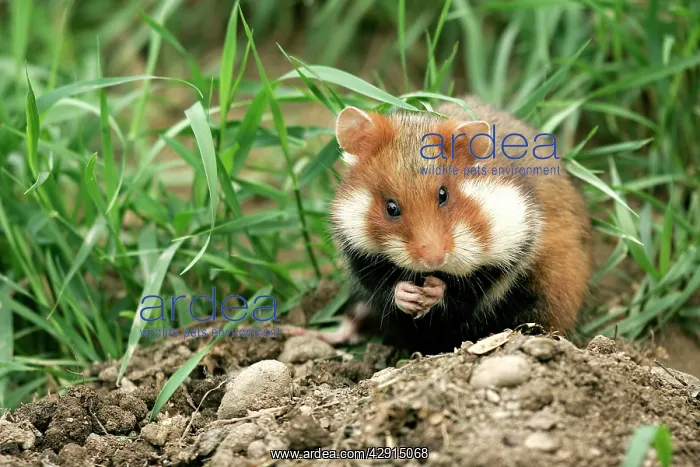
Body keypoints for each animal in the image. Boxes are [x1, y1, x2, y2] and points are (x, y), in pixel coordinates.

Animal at [299, 95, 593, 355]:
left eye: (443, 194)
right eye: (391, 207)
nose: (434, 259)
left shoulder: (515, 246)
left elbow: (470, 288)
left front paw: (433, 291)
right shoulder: (358, 253)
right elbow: (381, 285)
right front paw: (408, 293)